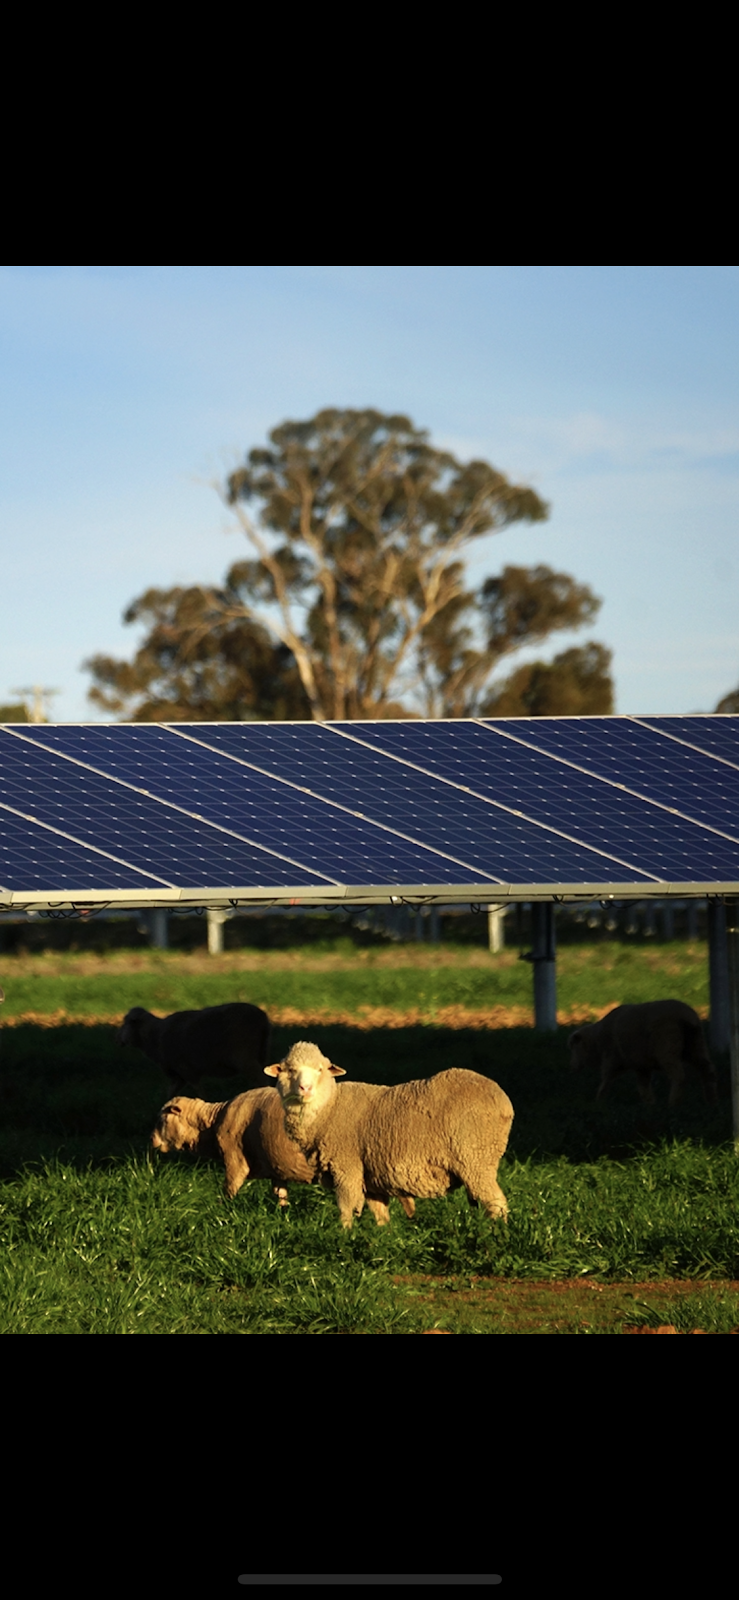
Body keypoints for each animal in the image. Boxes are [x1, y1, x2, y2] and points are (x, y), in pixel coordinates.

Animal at [118, 1004, 271, 1094]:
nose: (118, 1039)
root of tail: (262, 1017)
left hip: (244, 1058)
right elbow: (171, 1094)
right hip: (260, 1056)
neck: (155, 1035)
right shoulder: (179, 1076)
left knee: (263, 1081)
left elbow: (200, 1094)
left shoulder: (187, 1071)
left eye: (126, 1022)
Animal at [150, 1088, 415, 1222]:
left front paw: (219, 1212)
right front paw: (283, 1214)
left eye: (163, 1117)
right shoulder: (276, 1166)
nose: (151, 1141)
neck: (211, 1123)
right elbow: (280, 1193)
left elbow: (229, 1190)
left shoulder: (234, 1157)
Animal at [265, 1043, 515, 1228]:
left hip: (475, 1158)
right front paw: (382, 1237)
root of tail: (503, 1100)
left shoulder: (346, 1167)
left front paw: (343, 1236)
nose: (305, 1089)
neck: (328, 1108)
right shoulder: (370, 1174)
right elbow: (380, 1212)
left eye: (320, 1070)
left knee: (497, 1203)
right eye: (290, 1070)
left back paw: (495, 1234)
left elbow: (345, 1207)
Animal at [569, 998, 719, 1113]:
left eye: (574, 1047)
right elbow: (643, 1086)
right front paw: (650, 1105)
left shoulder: (611, 1059)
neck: (596, 1041)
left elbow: (606, 1081)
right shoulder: (641, 1065)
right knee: (707, 1070)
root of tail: (688, 1017)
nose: (573, 1068)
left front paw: (598, 1102)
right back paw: (711, 1102)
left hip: (667, 1048)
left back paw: (673, 1104)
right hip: (696, 1045)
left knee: (679, 1076)